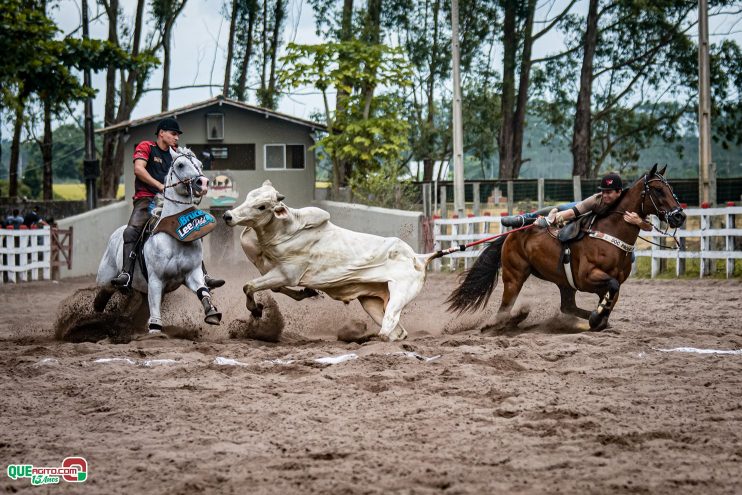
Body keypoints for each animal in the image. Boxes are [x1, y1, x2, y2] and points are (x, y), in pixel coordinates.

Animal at [93, 147, 221, 338]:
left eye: (200, 164)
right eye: (180, 164)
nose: (203, 183)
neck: (175, 235)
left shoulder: (192, 273)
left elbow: (202, 290)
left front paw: (212, 312)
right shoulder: (155, 279)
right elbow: (154, 306)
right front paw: (155, 328)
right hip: (106, 277)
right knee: (104, 291)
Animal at [224, 181, 428, 340]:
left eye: (262, 206)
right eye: (248, 197)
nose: (228, 216)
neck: (286, 232)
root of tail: (418, 257)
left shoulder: (287, 274)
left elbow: (249, 286)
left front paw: (256, 310)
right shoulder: (271, 271)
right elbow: (269, 287)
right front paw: (306, 292)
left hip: (398, 296)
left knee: (388, 328)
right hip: (372, 303)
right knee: (397, 333)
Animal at [448, 166, 684, 334]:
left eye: (671, 189)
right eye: (657, 189)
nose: (679, 215)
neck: (610, 232)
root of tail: (511, 234)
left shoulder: (604, 282)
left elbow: (611, 296)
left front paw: (598, 319)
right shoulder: (587, 277)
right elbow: (612, 287)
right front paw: (596, 318)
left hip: (563, 282)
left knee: (567, 306)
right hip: (514, 277)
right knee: (505, 309)